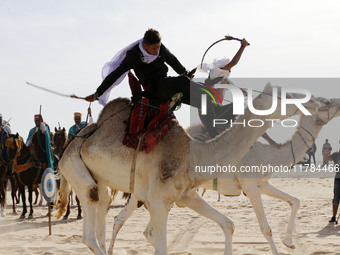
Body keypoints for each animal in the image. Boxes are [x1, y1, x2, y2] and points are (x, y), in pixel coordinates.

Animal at [56, 82, 318, 254]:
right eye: (283, 96)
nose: (313, 101)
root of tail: (66, 149)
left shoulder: (185, 195)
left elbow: (229, 223)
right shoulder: (160, 200)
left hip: (104, 182)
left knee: (103, 211)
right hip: (78, 172)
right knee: (91, 229)